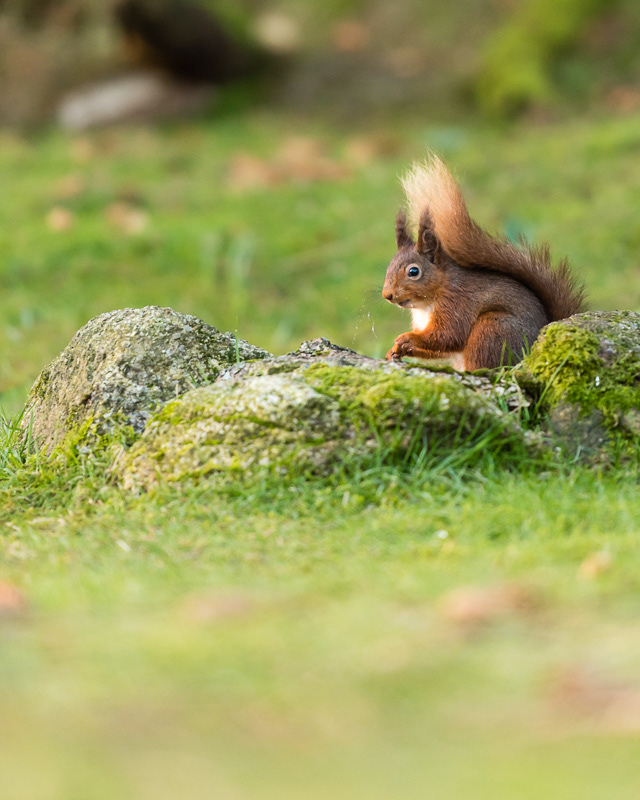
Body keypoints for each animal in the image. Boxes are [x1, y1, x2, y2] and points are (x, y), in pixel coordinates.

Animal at [382, 156, 586, 370]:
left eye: (414, 272)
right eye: (388, 267)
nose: (387, 295)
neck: (426, 304)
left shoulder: (457, 303)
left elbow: (448, 335)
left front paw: (407, 338)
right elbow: (440, 348)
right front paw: (394, 350)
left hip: (492, 328)